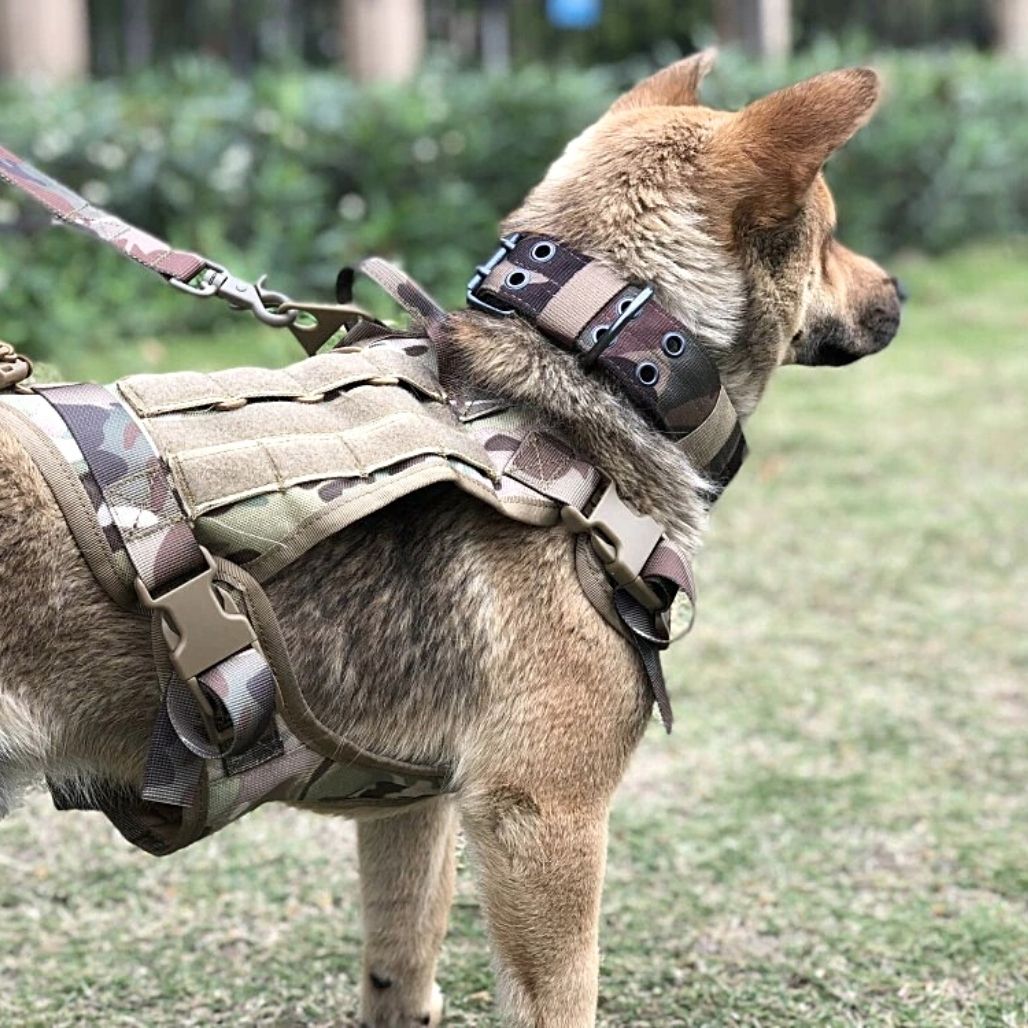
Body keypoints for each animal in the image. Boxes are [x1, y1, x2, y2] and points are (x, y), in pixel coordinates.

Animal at [0, 56, 900, 1028]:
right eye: (830, 238)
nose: (900, 293)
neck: (583, 371)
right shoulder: (542, 817)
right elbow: (561, 999)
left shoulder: (409, 809)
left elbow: (401, 962)